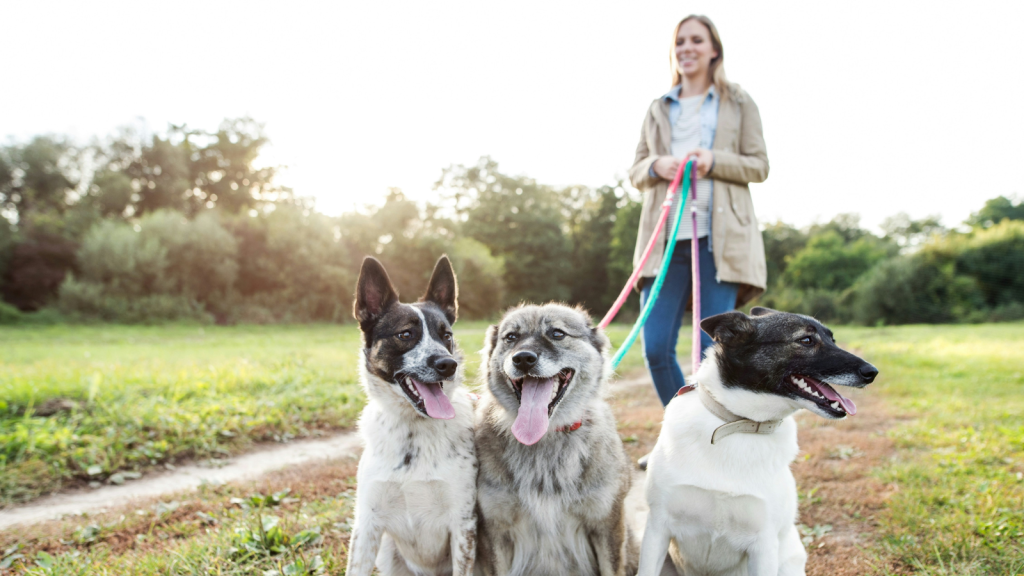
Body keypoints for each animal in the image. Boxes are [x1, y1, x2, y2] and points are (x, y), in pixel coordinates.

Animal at [342, 255, 473, 573]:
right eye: (405, 334)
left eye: (446, 335)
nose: (448, 365)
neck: (413, 432)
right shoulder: (367, 523)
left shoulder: (463, 526)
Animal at [473, 303, 634, 569]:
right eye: (511, 337)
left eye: (557, 334)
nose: (523, 359)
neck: (545, 437)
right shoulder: (495, 533)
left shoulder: (607, 526)